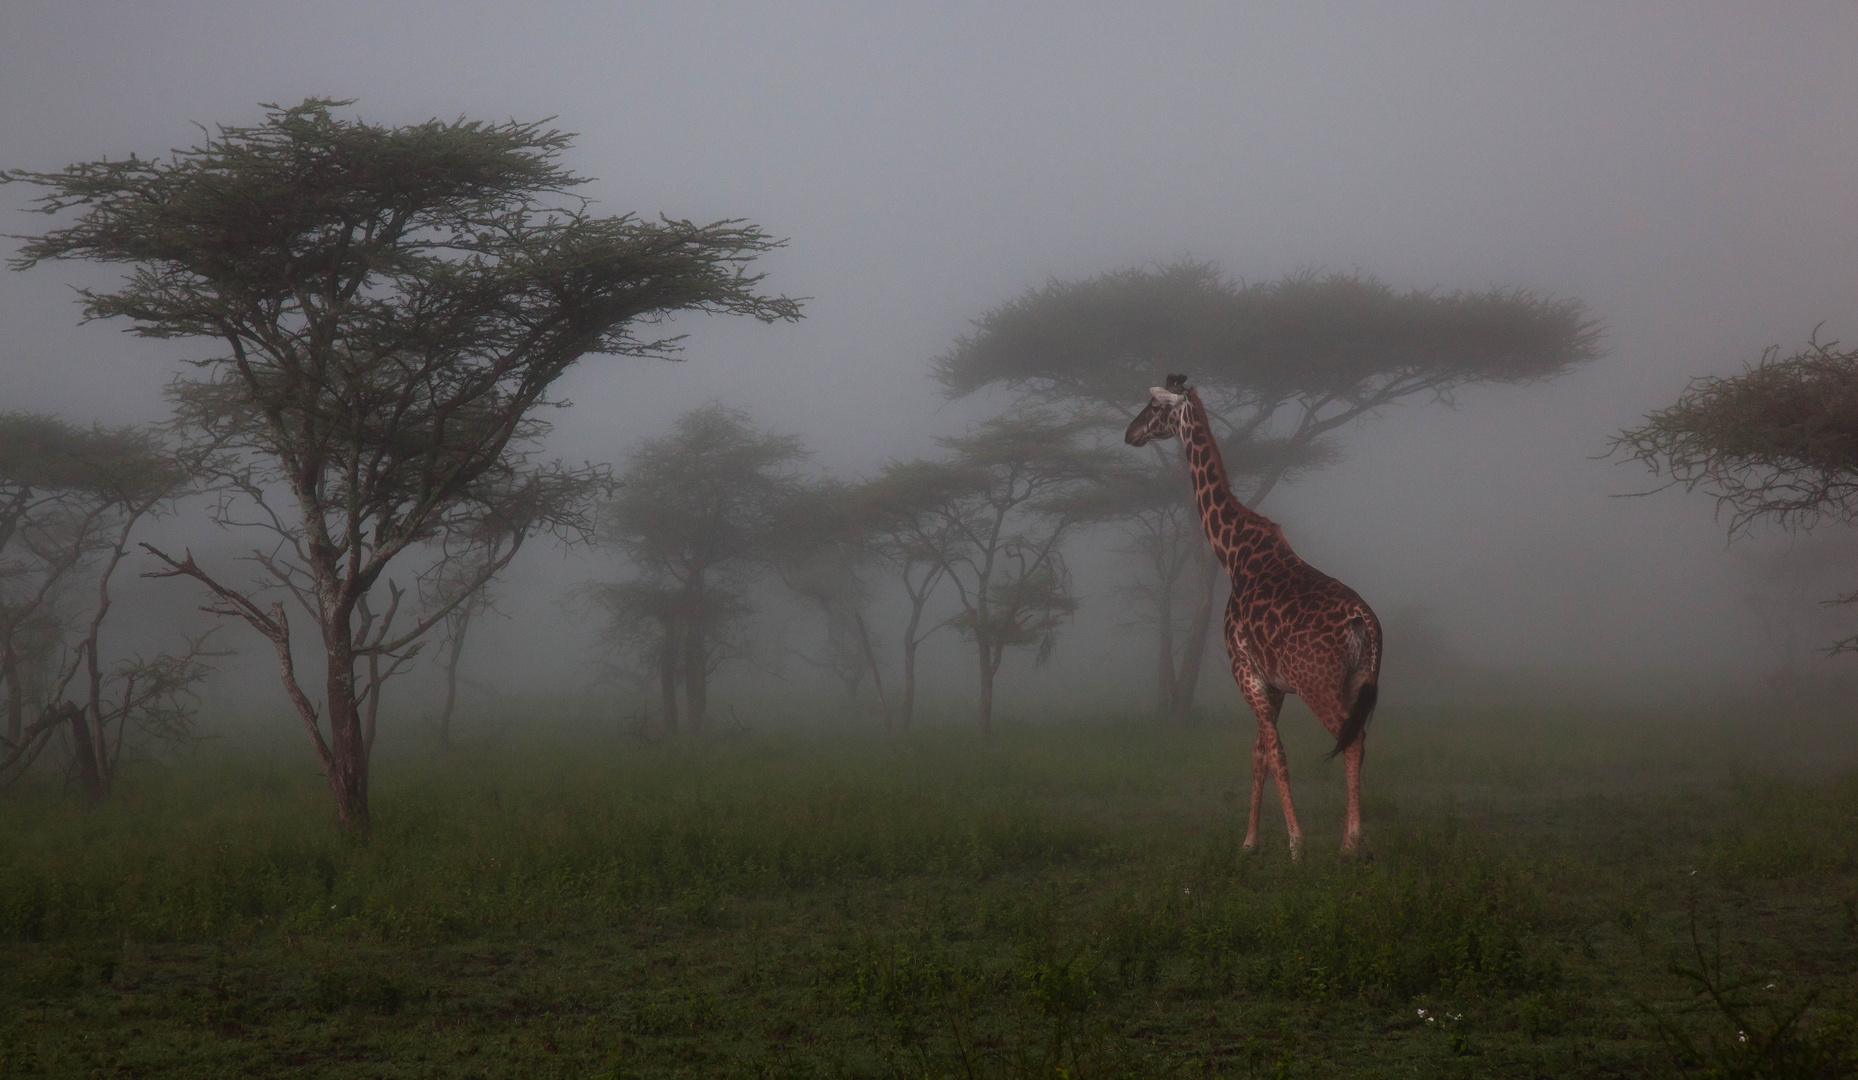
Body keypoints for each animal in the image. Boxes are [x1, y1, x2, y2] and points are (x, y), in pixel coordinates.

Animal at [1122, 375, 1389, 855]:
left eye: (1153, 407)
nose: (1129, 433)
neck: (1232, 553)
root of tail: (1364, 622)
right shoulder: (1274, 682)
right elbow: (1258, 755)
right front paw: (1249, 842)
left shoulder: (1244, 669)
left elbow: (1275, 753)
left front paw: (1296, 844)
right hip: (1359, 679)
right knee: (1356, 738)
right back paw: (1349, 840)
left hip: (1319, 684)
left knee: (1351, 739)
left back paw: (1351, 844)